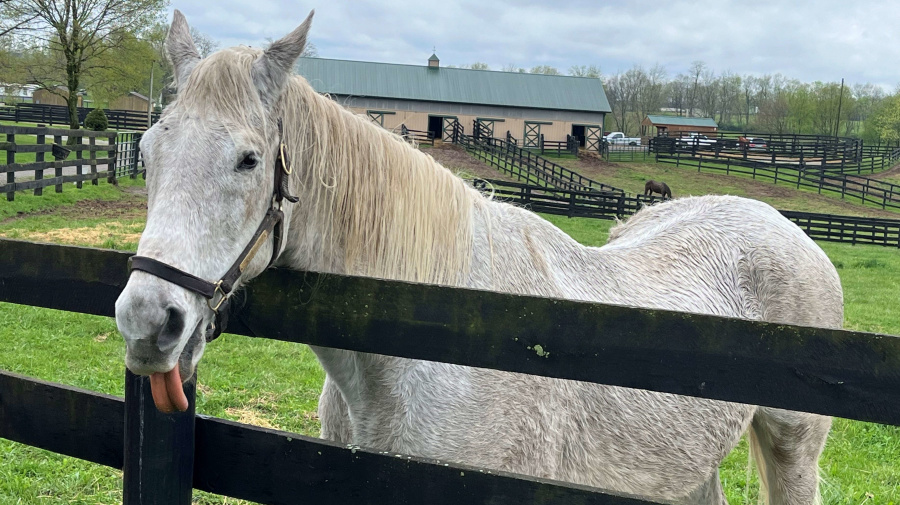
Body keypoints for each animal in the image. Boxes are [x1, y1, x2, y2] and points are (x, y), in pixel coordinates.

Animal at [114, 11, 844, 504]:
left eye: (249, 159)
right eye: (146, 151)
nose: (148, 322)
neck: (425, 349)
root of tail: (780, 224)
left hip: (792, 446)